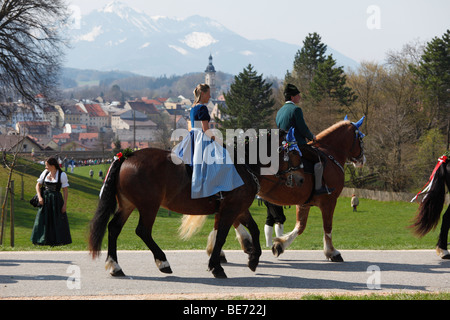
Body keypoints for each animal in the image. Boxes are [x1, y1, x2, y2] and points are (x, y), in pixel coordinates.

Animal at [88, 129, 302, 278]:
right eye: (295, 154)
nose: (300, 180)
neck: (244, 166)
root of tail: (127, 156)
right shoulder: (230, 209)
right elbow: (222, 236)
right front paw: (216, 266)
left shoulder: (239, 209)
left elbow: (254, 229)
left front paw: (253, 259)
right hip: (149, 206)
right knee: (143, 231)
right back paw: (162, 261)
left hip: (128, 204)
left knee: (114, 228)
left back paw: (115, 266)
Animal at [207, 117, 366, 262]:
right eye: (360, 139)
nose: (362, 160)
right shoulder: (329, 201)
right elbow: (327, 227)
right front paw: (332, 252)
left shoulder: (304, 203)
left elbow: (300, 227)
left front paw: (280, 245)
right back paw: (238, 244)